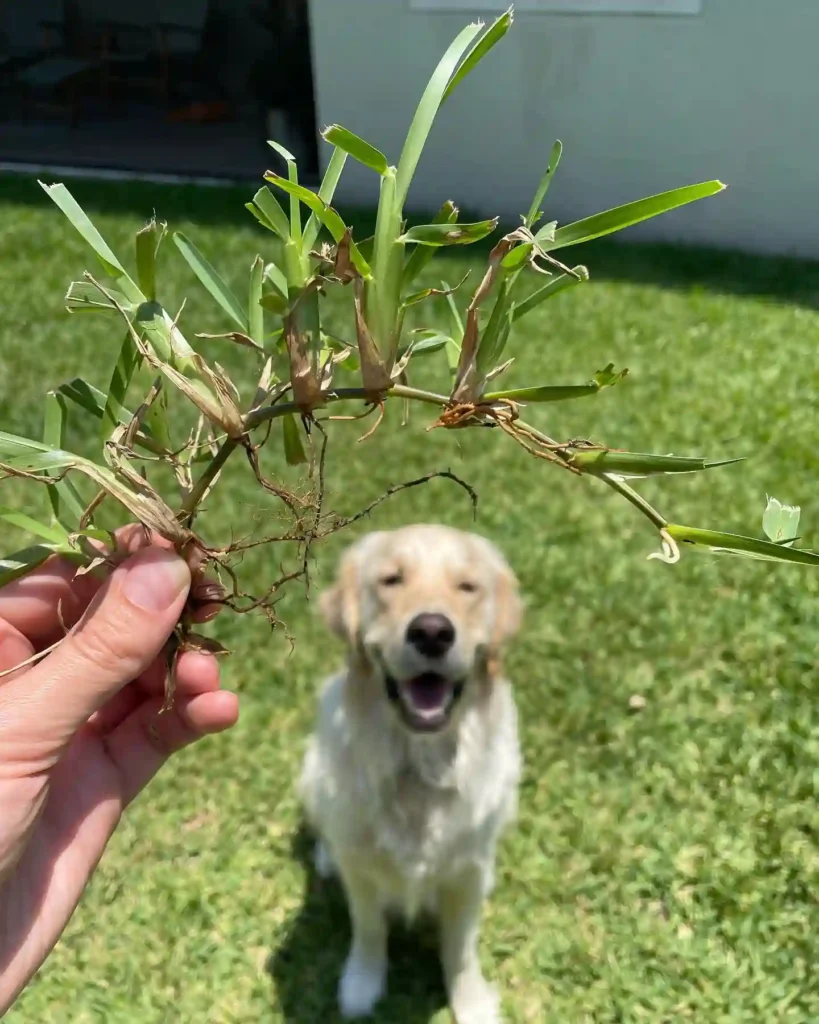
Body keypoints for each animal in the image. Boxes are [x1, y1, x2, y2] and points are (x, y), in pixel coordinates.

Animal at [296, 524, 522, 1019]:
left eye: (467, 587)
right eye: (391, 580)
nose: (432, 632)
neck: (420, 766)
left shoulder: (467, 872)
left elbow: (461, 946)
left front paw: (471, 1002)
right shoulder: (362, 872)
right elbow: (368, 929)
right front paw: (361, 985)